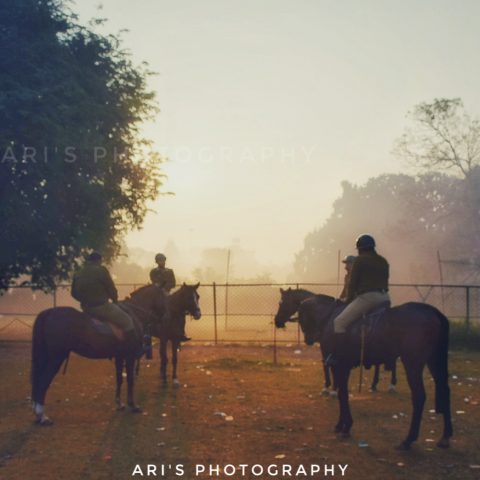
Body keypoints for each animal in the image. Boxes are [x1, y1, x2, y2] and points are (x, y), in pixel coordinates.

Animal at [30, 282, 199, 424]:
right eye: (163, 298)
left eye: (197, 297)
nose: (166, 317)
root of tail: (49, 313)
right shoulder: (130, 356)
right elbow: (130, 379)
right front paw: (133, 404)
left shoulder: (120, 356)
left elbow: (119, 378)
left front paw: (119, 403)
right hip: (55, 357)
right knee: (43, 380)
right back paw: (42, 415)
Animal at [276, 290, 452, 452]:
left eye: (281, 302)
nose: (277, 321)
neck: (329, 317)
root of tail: (431, 311)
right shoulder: (340, 365)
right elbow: (341, 392)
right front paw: (340, 423)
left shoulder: (338, 364)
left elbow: (342, 393)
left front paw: (345, 425)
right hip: (433, 360)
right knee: (444, 389)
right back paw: (445, 437)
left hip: (412, 363)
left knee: (419, 396)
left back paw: (408, 439)